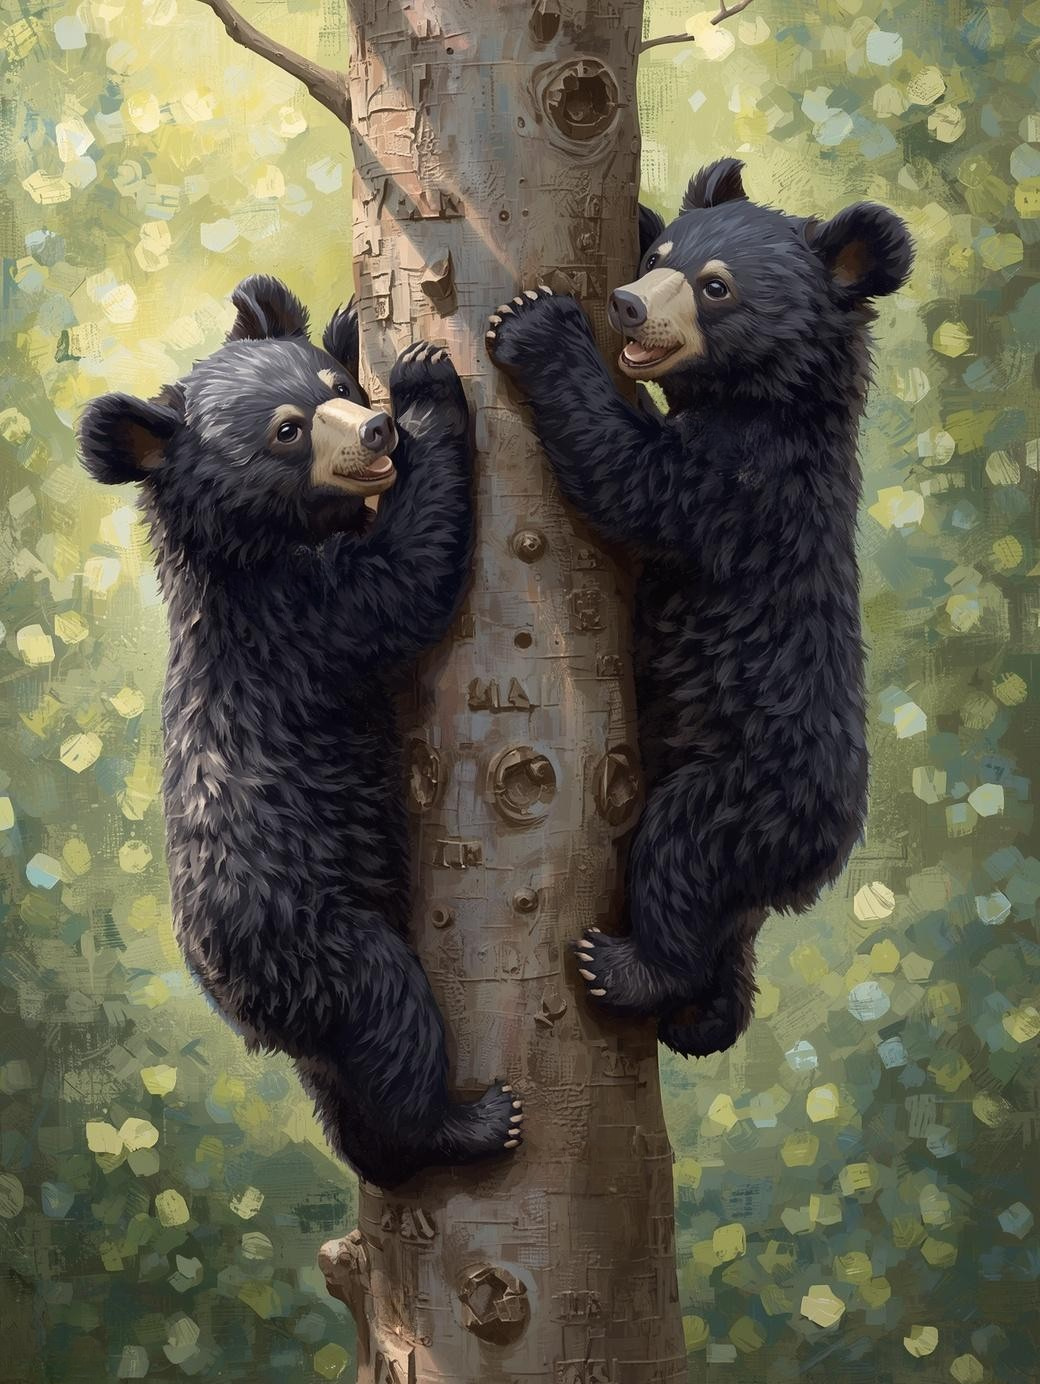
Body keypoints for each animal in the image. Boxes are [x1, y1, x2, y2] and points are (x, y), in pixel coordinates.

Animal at [78, 275, 522, 1186]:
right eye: (286, 430)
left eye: (336, 387)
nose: (378, 429)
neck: (256, 549)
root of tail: (239, 1009)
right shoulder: (300, 620)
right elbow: (407, 579)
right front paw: (427, 381)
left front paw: (354, 322)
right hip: (314, 936)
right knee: (389, 1016)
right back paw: (467, 1123)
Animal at [486, 159, 913, 1059]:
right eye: (659, 256)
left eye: (715, 287)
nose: (625, 304)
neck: (771, 399)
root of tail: (822, 860)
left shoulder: (741, 487)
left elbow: (629, 477)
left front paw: (535, 323)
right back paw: (705, 1011)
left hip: (746, 787)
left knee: (680, 854)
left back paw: (629, 969)